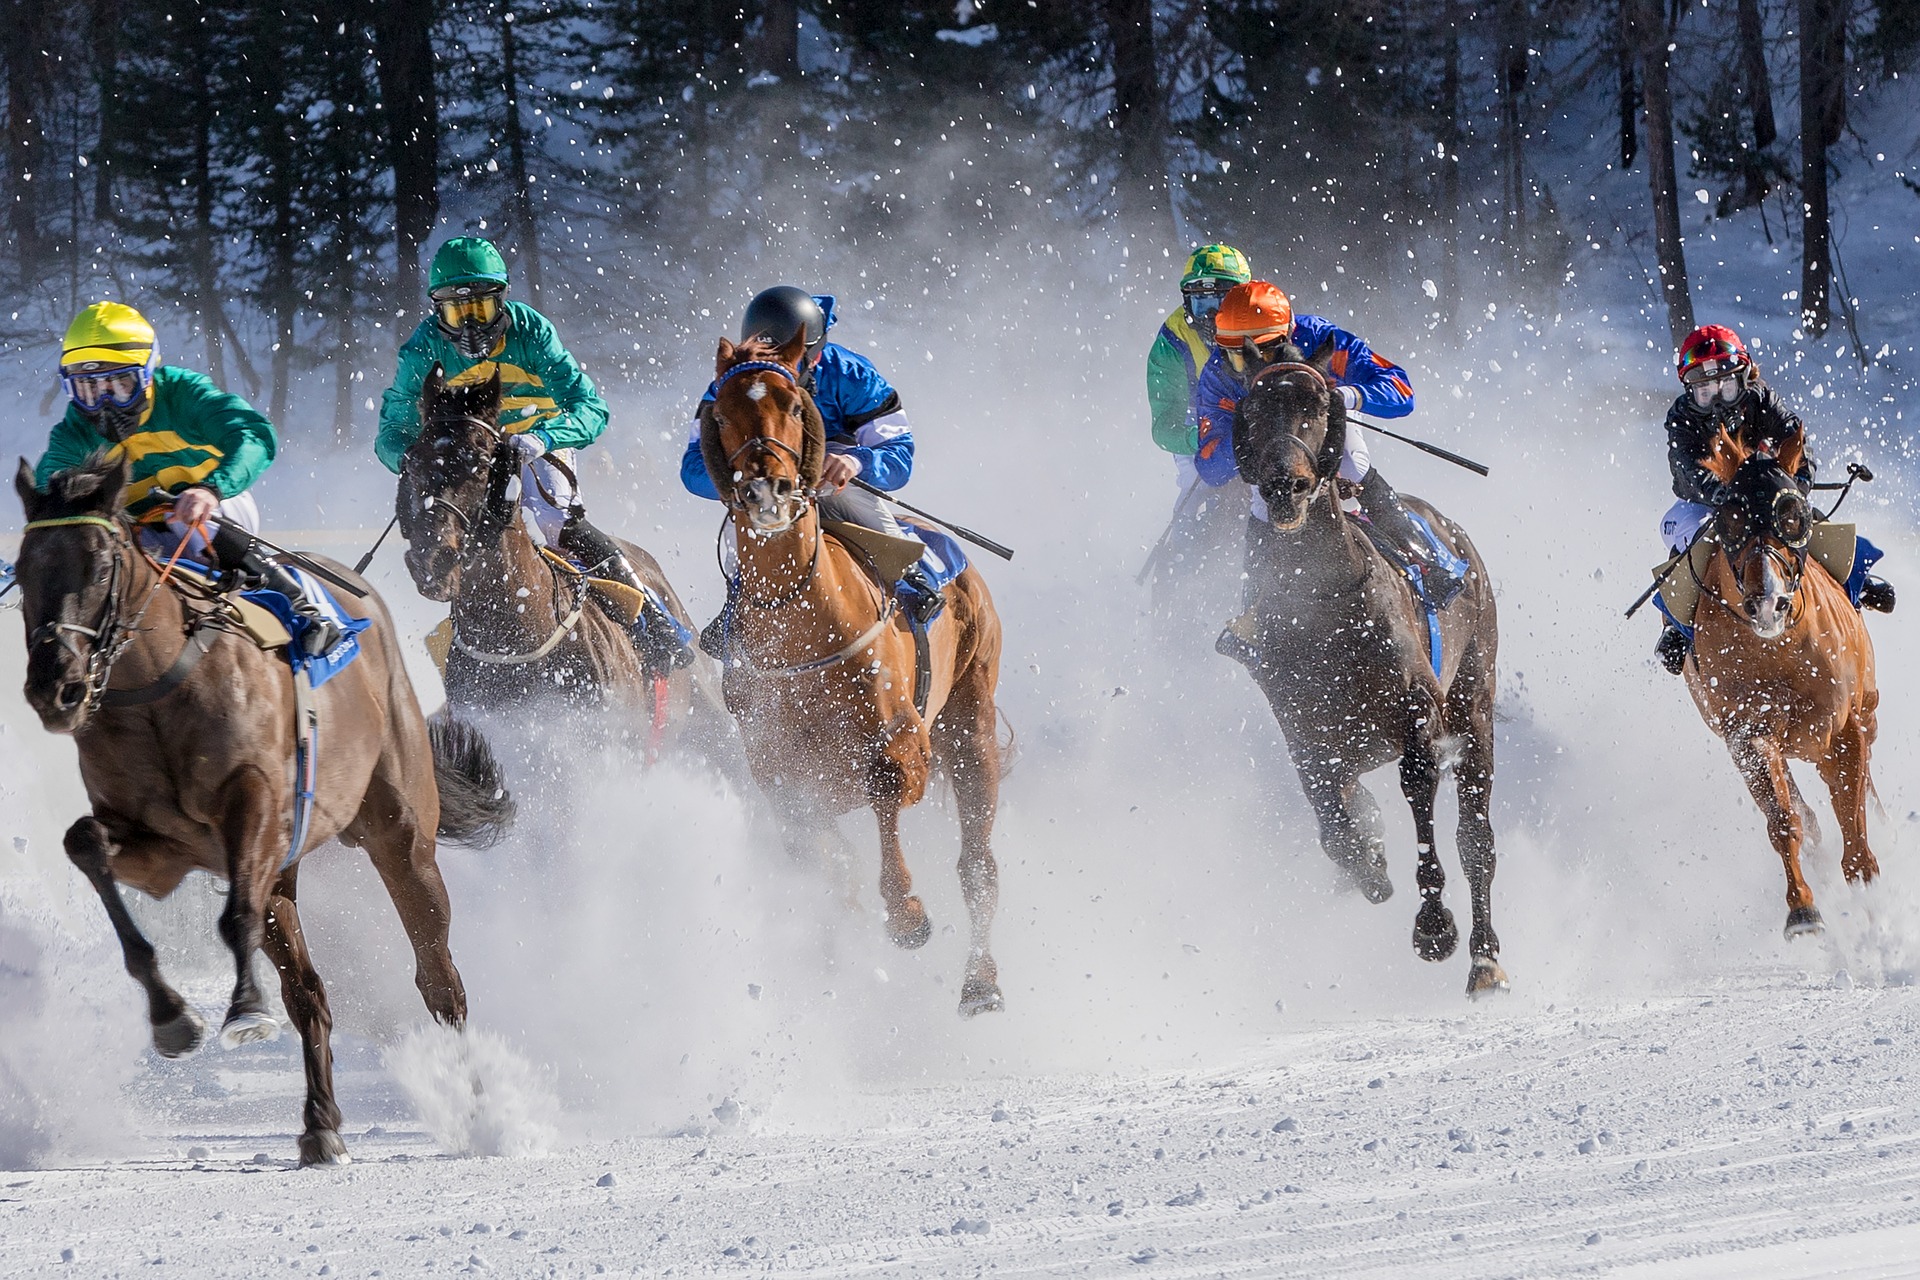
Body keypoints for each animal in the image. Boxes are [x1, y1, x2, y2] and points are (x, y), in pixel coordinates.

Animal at [15, 454, 510, 1166]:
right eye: (23, 568)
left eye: (101, 564)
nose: (56, 687)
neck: (160, 687)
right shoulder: (159, 847)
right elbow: (85, 843)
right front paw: (173, 1018)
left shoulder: (254, 806)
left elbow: (236, 915)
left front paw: (245, 1010)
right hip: (288, 868)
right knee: (309, 993)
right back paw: (320, 1124)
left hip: (401, 831)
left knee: (439, 976)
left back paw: (480, 1109)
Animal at [702, 335, 1006, 1013]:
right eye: (721, 409)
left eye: (794, 403)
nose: (766, 490)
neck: (800, 624)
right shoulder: (780, 772)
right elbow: (821, 854)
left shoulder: (904, 740)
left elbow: (887, 787)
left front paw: (908, 913)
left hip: (970, 717)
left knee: (977, 863)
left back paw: (981, 981)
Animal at [1221, 347, 1505, 997]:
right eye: (1251, 409)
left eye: (1318, 405)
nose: (1286, 485)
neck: (1322, 606)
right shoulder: (1305, 732)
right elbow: (1334, 824)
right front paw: (1370, 862)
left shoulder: (1418, 716)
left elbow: (1420, 794)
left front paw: (1434, 928)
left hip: (1475, 700)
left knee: (1476, 840)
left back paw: (1484, 959)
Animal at [1681, 426, 1873, 936]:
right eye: (1730, 518)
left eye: (1793, 515)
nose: (1768, 603)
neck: (1779, 651)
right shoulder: (1748, 734)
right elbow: (1783, 818)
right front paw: (1803, 910)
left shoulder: (1844, 725)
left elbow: (1851, 808)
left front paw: (1867, 884)